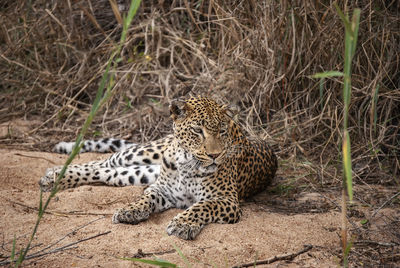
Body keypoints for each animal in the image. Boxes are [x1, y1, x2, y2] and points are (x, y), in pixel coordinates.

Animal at [40, 96, 278, 241]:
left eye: (221, 131)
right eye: (197, 130)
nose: (214, 156)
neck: (186, 163)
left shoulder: (226, 200)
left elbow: (202, 206)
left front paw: (183, 223)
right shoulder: (161, 189)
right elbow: (145, 198)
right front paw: (130, 209)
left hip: (139, 174)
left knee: (108, 173)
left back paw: (54, 178)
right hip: (141, 153)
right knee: (104, 162)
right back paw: (54, 175)